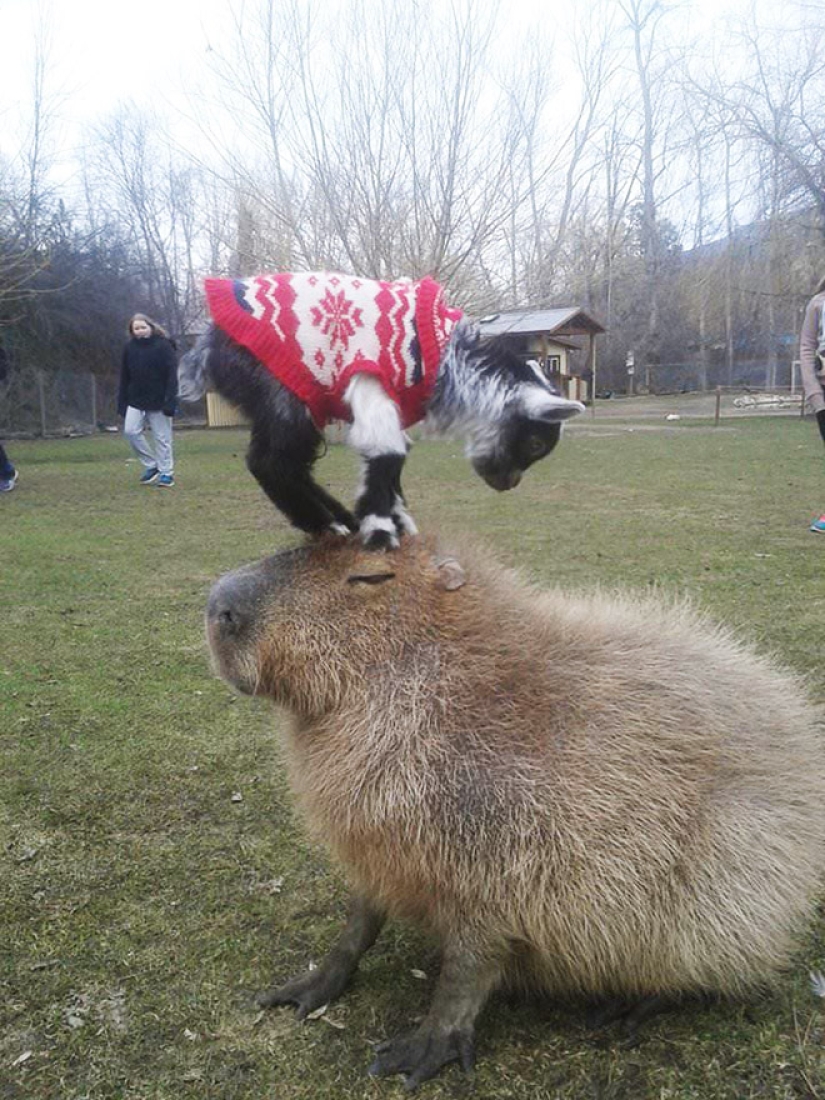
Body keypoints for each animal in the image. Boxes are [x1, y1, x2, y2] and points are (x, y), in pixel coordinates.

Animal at [178, 272, 585, 547]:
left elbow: (397, 454)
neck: (448, 359)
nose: (508, 484)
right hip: (282, 390)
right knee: (269, 462)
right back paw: (326, 524)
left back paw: (340, 517)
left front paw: (396, 518)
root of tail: (208, 344)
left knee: (295, 465)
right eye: (535, 443)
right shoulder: (371, 381)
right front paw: (381, 529)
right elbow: (386, 450)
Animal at [205, 534, 825, 1091]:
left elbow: (468, 966)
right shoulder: (376, 849)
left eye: (369, 575)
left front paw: (422, 1049)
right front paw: (308, 986)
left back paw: (631, 1003)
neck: (444, 682)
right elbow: (359, 921)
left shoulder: (505, 861)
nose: (218, 604)